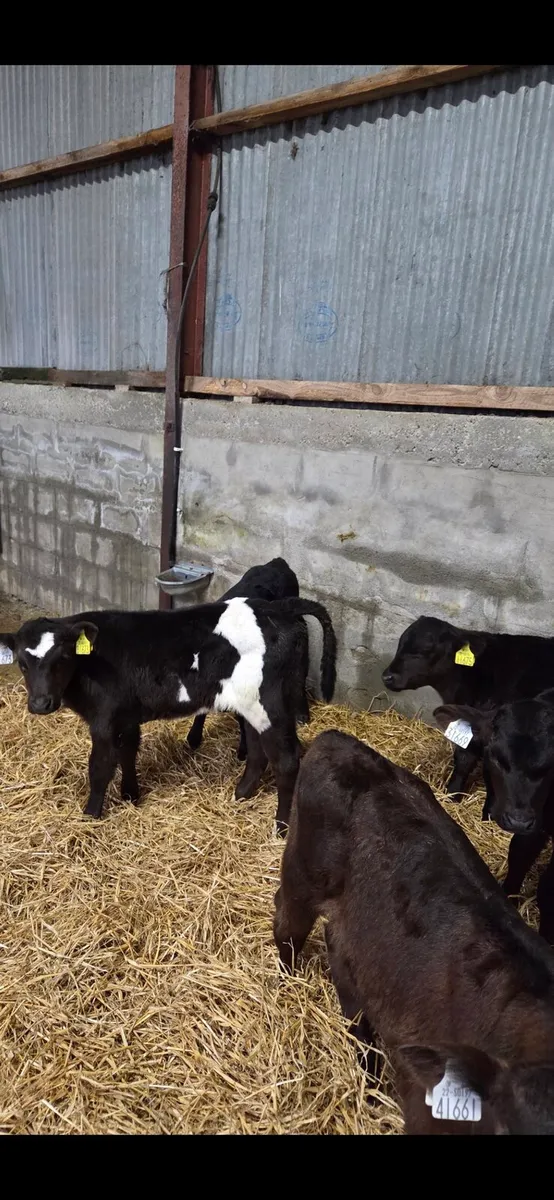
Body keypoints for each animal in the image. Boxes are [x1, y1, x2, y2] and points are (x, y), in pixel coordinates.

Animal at [0, 596, 336, 831]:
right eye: (22, 663)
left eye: (62, 658)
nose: (41, 703)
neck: (91, 662)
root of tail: (279, 607)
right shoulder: (127, 715)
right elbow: (128, 753)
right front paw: (131, 796)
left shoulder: (104, 719)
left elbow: (100, 767)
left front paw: (91, 814)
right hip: (251, 704)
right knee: (257, 752)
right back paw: (240, 795)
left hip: (271, 702)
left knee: (287, 760)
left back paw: (281, 827)